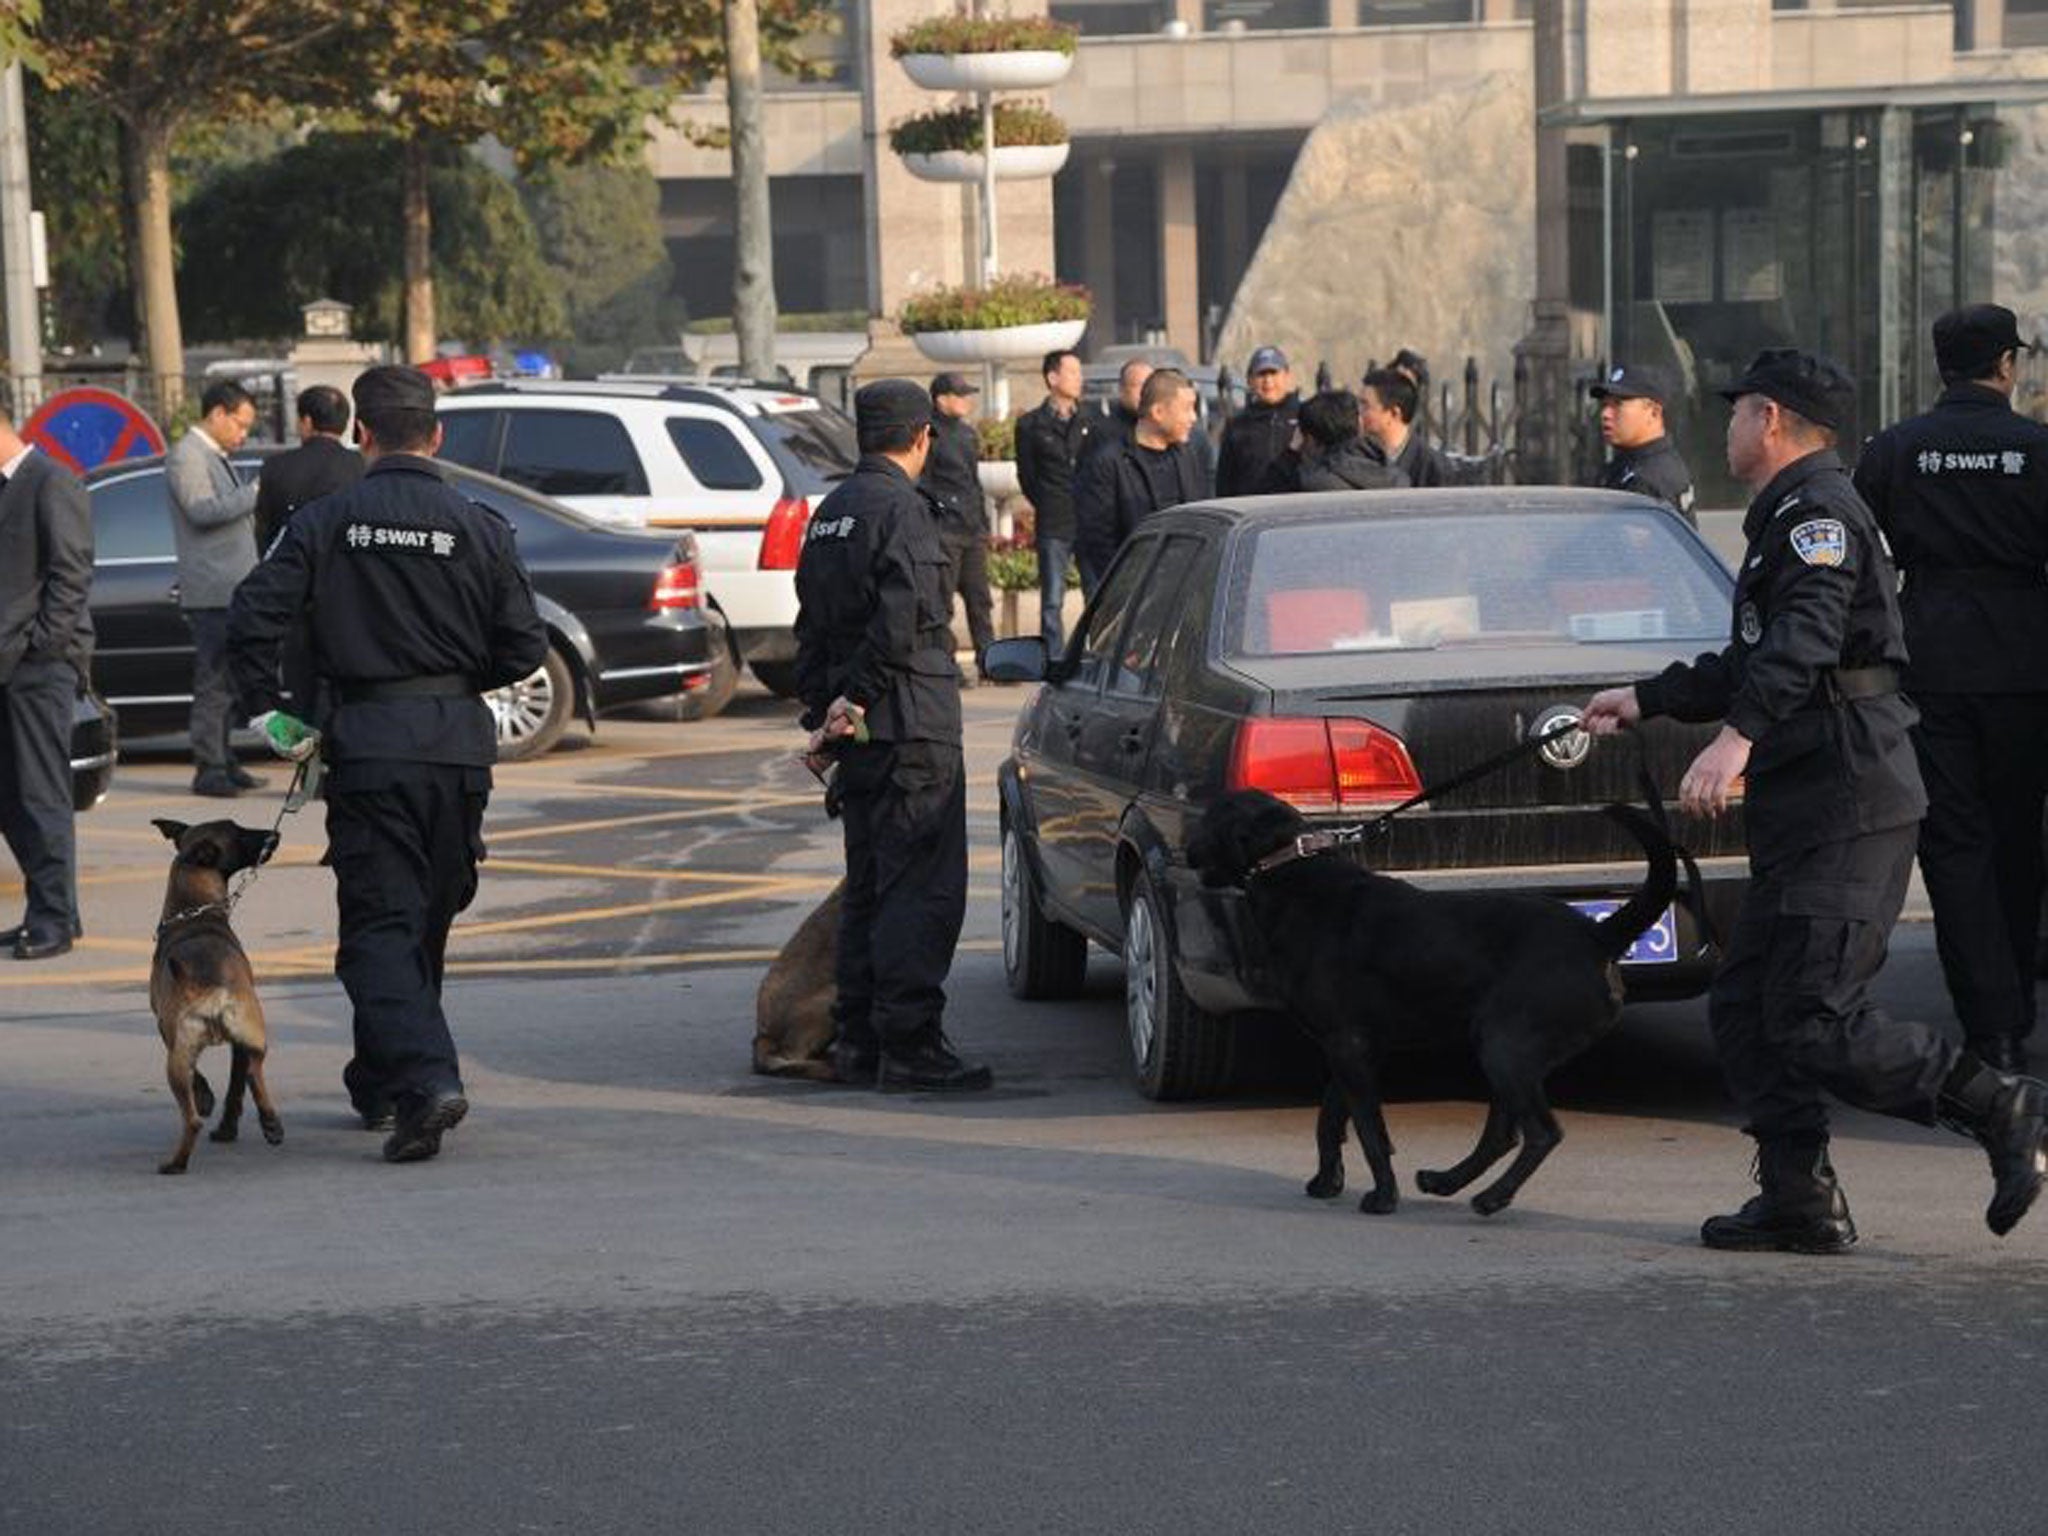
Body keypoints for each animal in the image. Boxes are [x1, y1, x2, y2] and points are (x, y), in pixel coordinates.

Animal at [151, 823, 286, 1171]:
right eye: (240, 833)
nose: (273, 836)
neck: (193, 914)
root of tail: (210, 992)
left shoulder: (165, 1029)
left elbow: (218, 1086)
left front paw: (214, 1110)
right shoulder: (233, 1045)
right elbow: (235, 1089)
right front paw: (225, 1124)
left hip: (185, 1055)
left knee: (200, 1112)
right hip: (249, 1038)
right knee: (249, 1075)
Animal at [1196, 794, 1671, 1212]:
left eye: (1205, 817)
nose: (1182, 848)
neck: (1289, 864)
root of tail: (1598, 935)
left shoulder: (1349, 1045)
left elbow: (1370, 1130)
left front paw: (1383, 1197)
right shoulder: (1350, 1047)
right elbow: (1330, 1120)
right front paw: (1326, 1182)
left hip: (1505, 1049)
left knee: (1541, 1133)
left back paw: (1492, 1198)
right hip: (1506, 1054)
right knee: (1503, 1135)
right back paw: (1447, 1181)